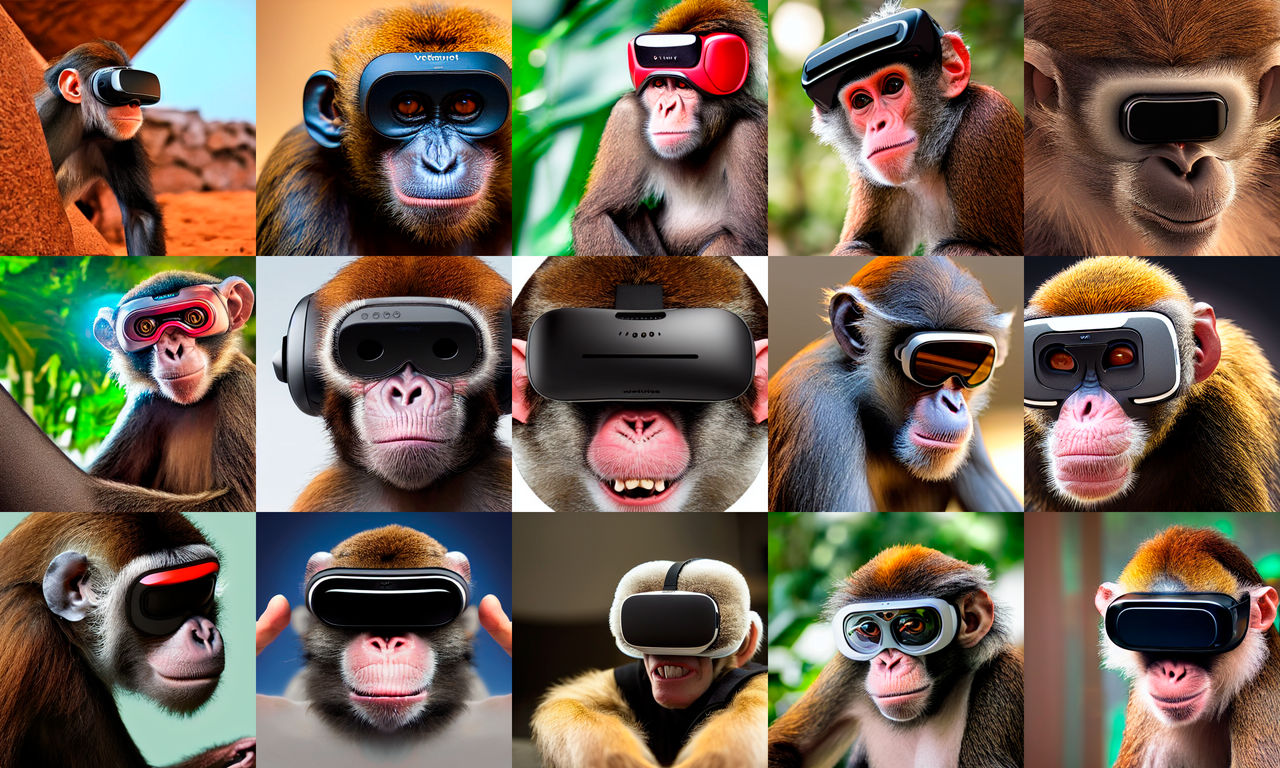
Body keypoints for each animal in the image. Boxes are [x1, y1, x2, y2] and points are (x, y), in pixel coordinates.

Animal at [35, 41, 166, 256]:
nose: (135, 103)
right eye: (110, 86)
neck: (86, 127)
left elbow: (140, 215)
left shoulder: (123, 144)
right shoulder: (53, 115)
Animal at [90, 270, 256, 512]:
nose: (174, 350)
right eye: (145, 327)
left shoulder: (241, 387)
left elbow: (237, 502)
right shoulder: (144, 404)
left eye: (194, 317)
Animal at [570, 0, 767, 257]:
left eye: (683, 85)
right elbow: (596, 216)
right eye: (659, 83)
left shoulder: (752, 134)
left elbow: (745, 240)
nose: (666, 107)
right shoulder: (626, 116)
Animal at [768, 544, 1023, 768]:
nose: (889, 662)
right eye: (868, 628)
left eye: (913, 625)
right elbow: (782, 745)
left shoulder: (1002, 682)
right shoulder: (847, 668)